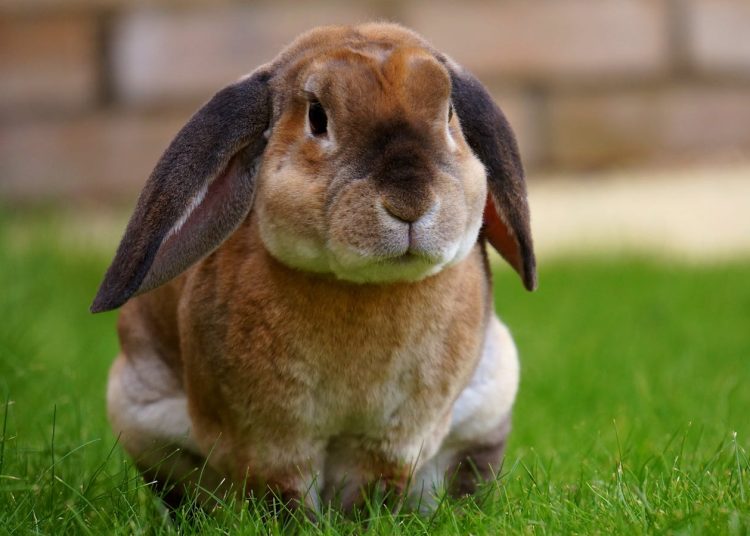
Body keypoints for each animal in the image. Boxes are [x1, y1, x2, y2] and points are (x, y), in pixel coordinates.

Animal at [92, 22, 536, 513]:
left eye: (450, 112)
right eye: (317, 118)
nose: (409, 202)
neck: (363, 288)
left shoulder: (392, 441)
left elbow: (372, 490)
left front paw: (367, 521)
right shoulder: (272, 442)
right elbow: (284, 495)